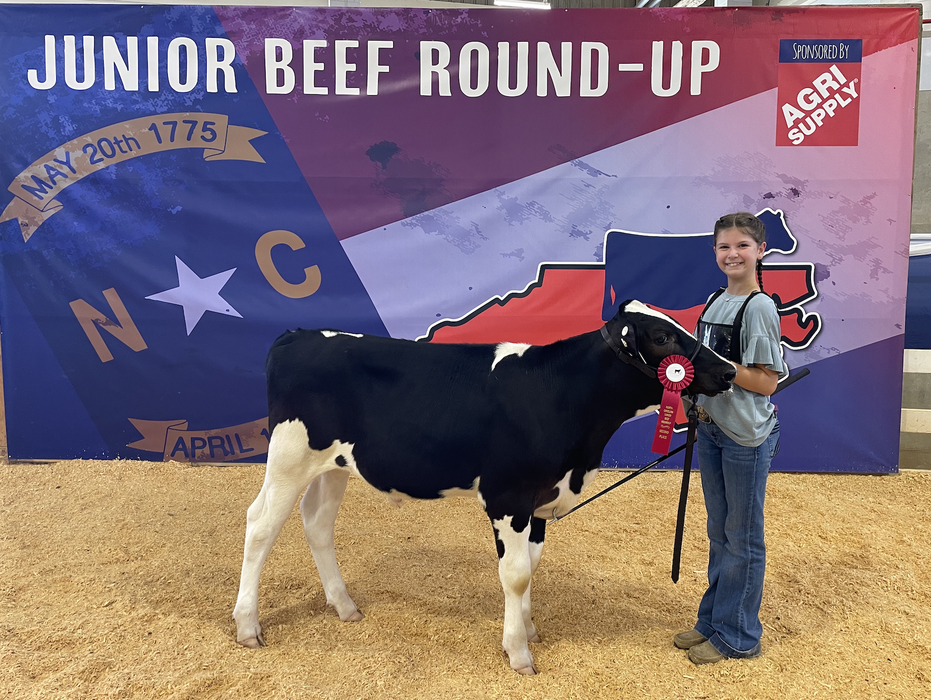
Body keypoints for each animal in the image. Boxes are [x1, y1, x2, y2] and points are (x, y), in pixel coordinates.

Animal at [233, 299, 736, 675]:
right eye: (663, 337)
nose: (731, 371)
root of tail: (298, 334)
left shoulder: (538, 500)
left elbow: (531, 564)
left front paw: (528, 628)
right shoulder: (508, 496)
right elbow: (515, 574)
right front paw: (518, 652)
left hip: (334, 464)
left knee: (316, 523)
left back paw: (344, 606)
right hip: (289, 455)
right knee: (260, 525)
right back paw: (247, 625)